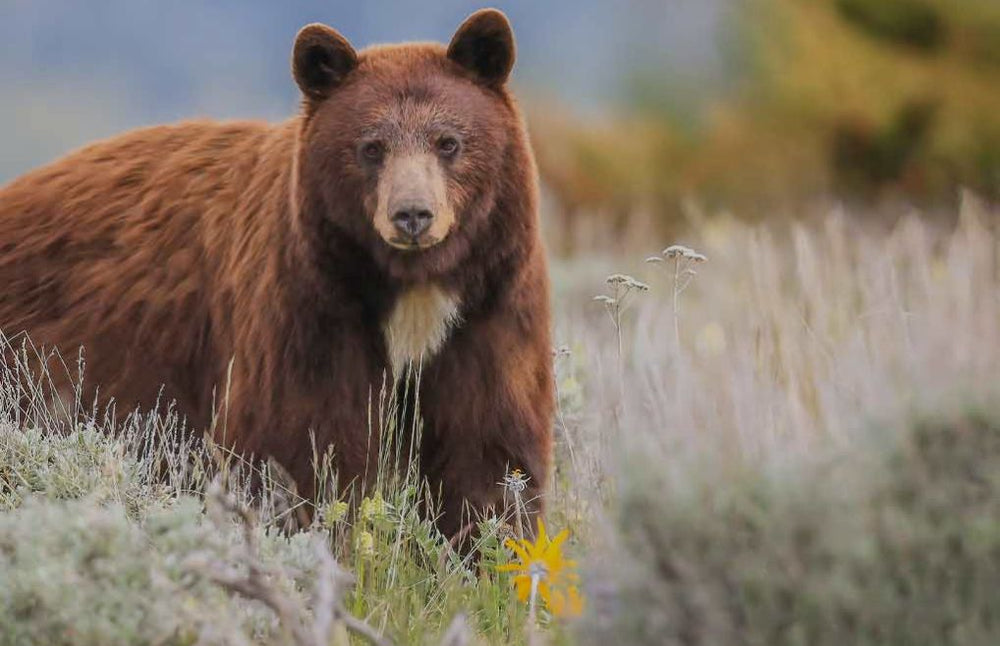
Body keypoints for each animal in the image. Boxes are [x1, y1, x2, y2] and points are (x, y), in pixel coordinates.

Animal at [0, 9, 554, 540]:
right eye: (371, 147)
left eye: (448, 142)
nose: (412, 214)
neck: (410, 291)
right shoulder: (307, 307)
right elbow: (296, 446)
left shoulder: (488, 308)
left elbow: (488, 452)